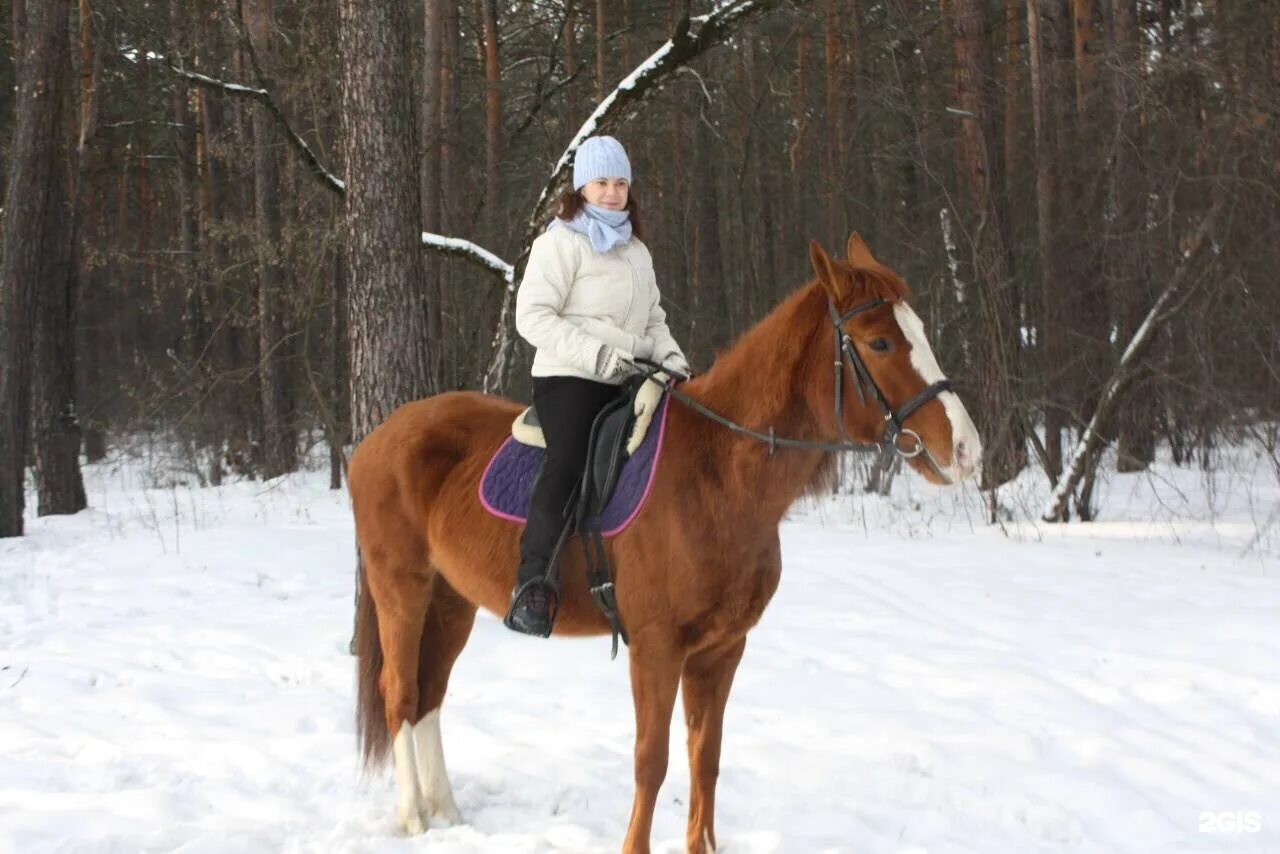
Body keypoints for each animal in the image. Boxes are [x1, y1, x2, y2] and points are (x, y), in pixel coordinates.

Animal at [350, 234, 977, 854]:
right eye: (879, 341)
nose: (966, 449)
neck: (717, 472)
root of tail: (378, 438)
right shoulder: (656, 647)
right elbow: (651, 761)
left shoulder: (722, 650)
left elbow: (706, 758)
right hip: (402, 588)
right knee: (400, 691)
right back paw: (413, 817)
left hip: (452, 600)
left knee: (430, 694)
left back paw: (448, 811)